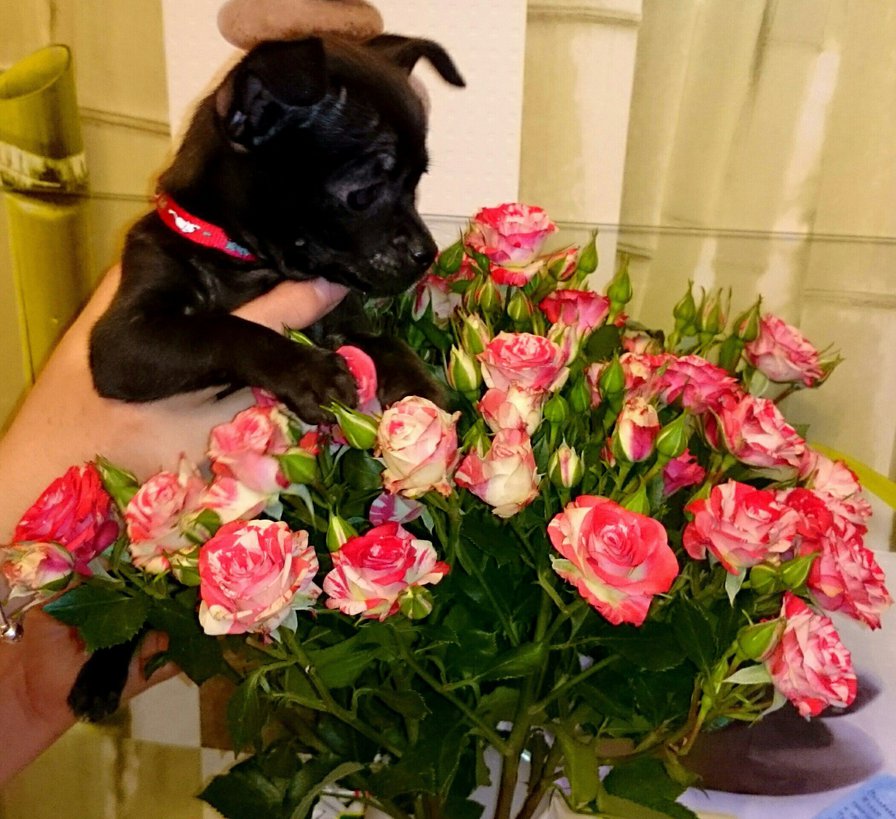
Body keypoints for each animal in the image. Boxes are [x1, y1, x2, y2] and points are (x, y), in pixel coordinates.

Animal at [69, 34, 464, 721]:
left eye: (418, 181)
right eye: (366, 189)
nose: (426, 254)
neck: (252, 265)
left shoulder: (341, 316)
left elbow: (383, 340)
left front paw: (420, 392)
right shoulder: (122, 343)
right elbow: (227, 330)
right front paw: (308, 373)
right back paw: (101, 672)